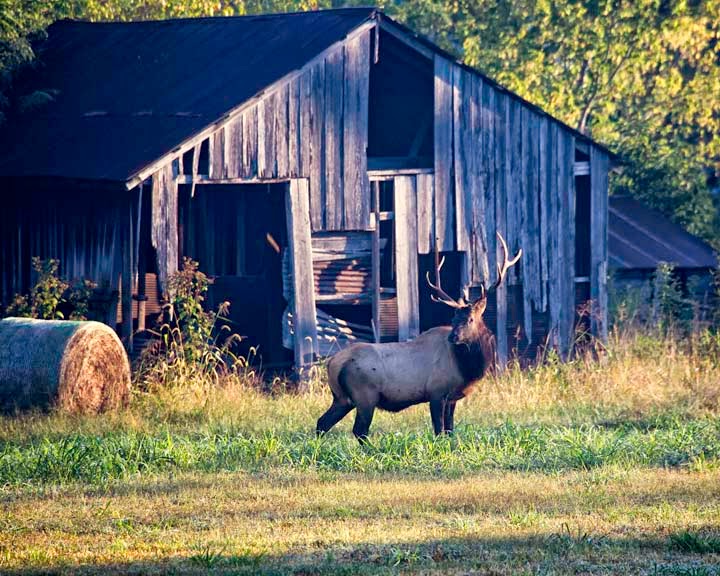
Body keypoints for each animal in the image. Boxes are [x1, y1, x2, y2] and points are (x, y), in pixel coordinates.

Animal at [316, 232, 522, 442]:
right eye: (454, 318)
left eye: (470, 319)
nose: (453, 337)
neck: (467, 368)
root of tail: (332, 363)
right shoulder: (436, 392)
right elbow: (439, 431)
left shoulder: (452, 398)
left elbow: (450, 431)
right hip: (365, 395)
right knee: (360, 430)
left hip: (342, 398)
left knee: (322, 423)